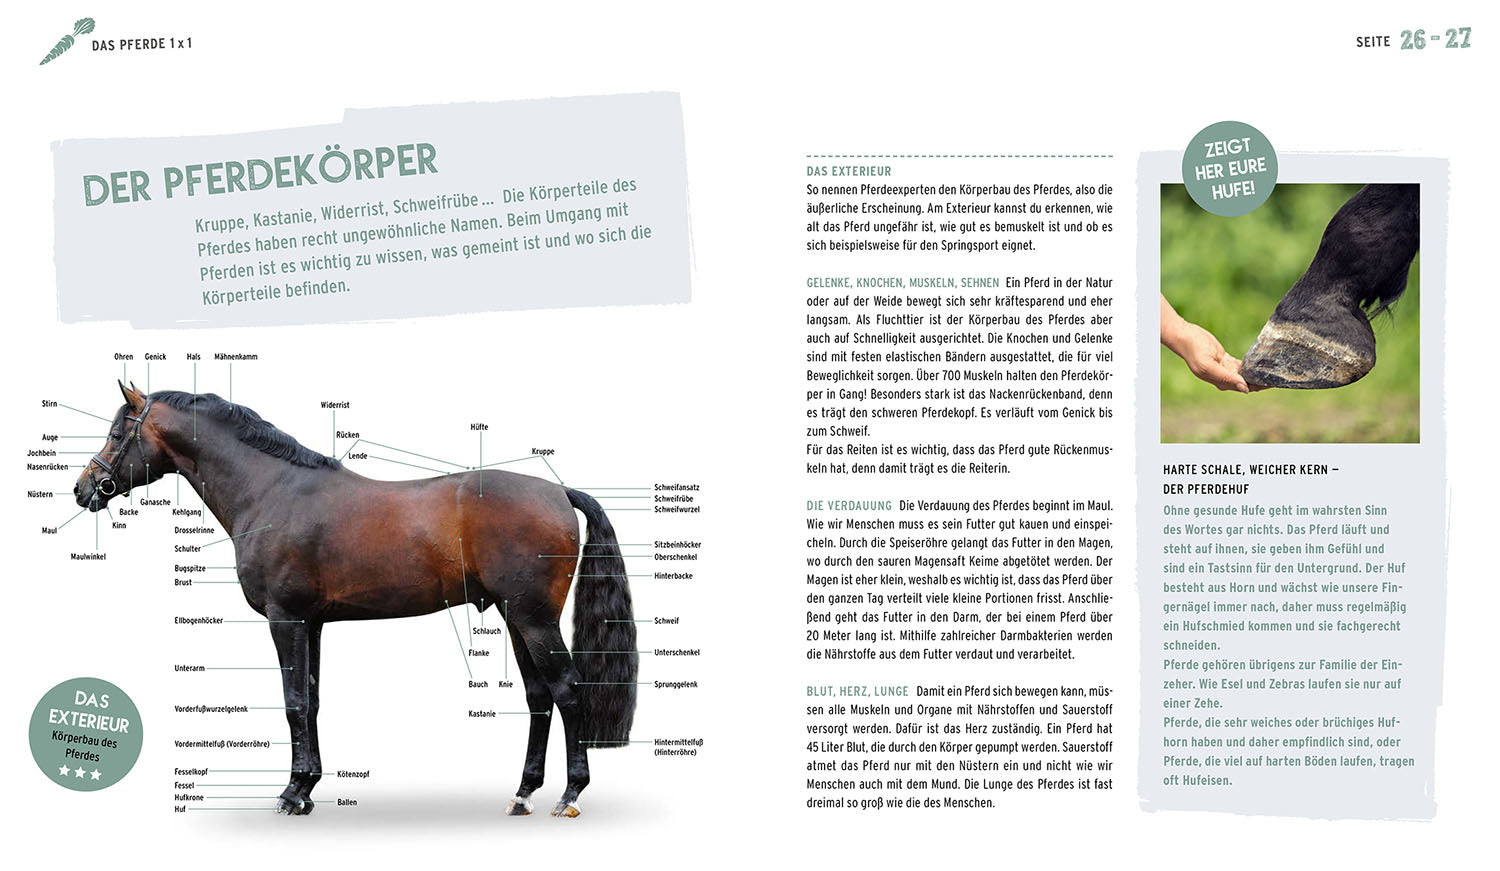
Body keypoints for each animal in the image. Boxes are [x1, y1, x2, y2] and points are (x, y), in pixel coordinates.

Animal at [73, 382, 637, 817]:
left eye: (119, 432)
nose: (84, 488)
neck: (272, 490)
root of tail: (559, 493)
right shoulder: (313, 624)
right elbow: (313, 701)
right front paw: (307, 789)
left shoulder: (285, 620)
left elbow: (294, 703)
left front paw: (291, 794)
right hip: (517, 618)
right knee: (539, 697)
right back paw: (522, 794)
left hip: (534, 618)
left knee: (568, 690)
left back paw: (569, 795)